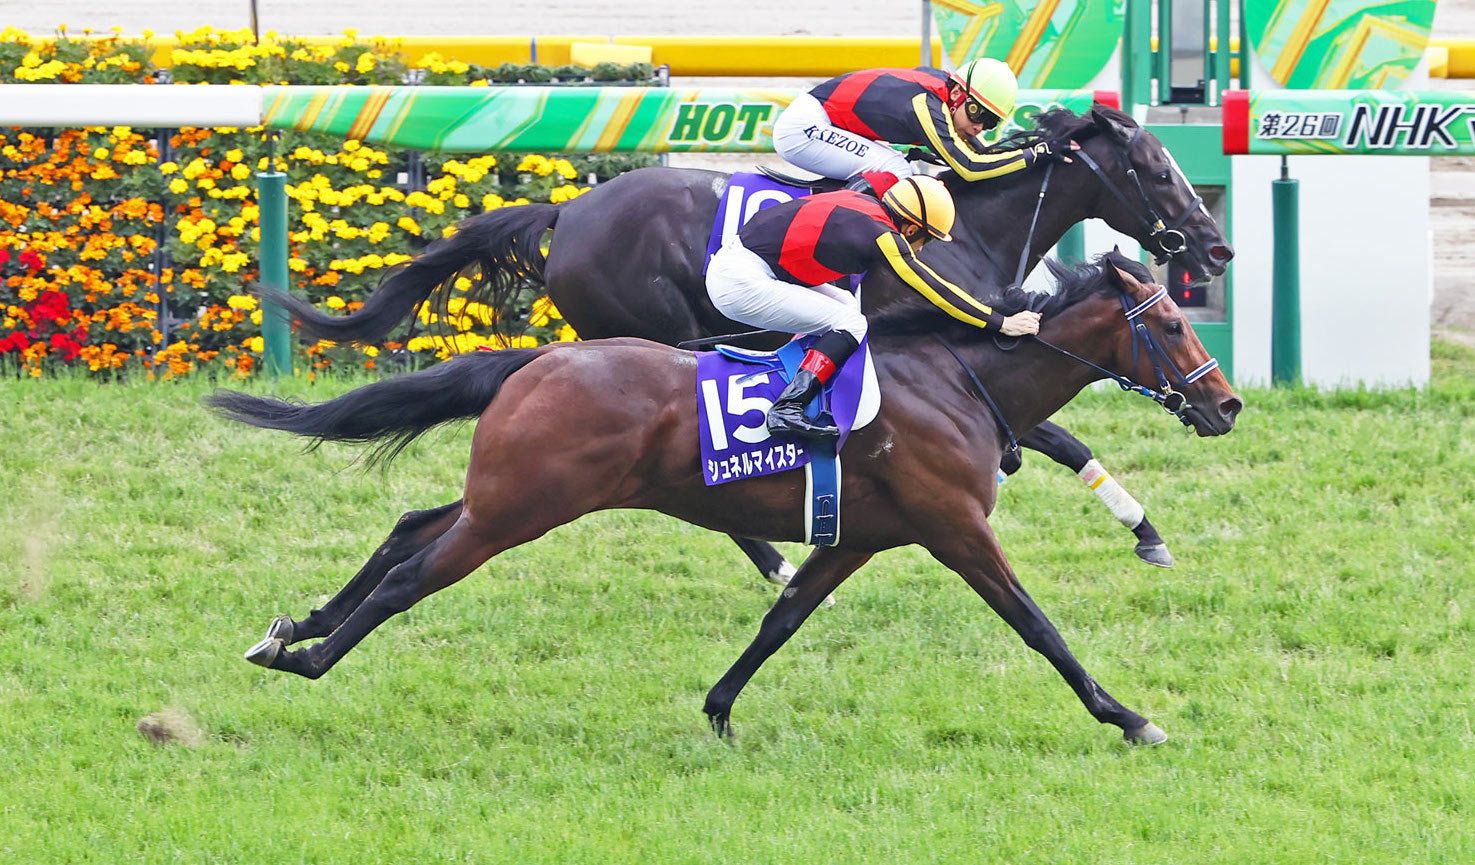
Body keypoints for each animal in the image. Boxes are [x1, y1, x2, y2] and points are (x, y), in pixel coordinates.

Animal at [210, 249, 1244, 741]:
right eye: (1167, 323)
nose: (1227, 403)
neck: (957, 381)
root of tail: (539, 356)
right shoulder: (953, 527)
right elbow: (1037, 625)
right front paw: (1129, 716)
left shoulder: (857, 535)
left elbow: (780, 619)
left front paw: (716, 709)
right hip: (522, 507)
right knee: (411, 576)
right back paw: (307, 658)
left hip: (505, 494)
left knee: (406, 528)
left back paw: (292, 627)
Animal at [265, 104, 1233, 581]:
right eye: (1155, 168)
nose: (1214, 245)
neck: (968, 228)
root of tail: (567, 210)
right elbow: (1059, 431)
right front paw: (1146, 531)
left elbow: (1058, 436)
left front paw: (1144, 529)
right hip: (649, 331)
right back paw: (769, 550)